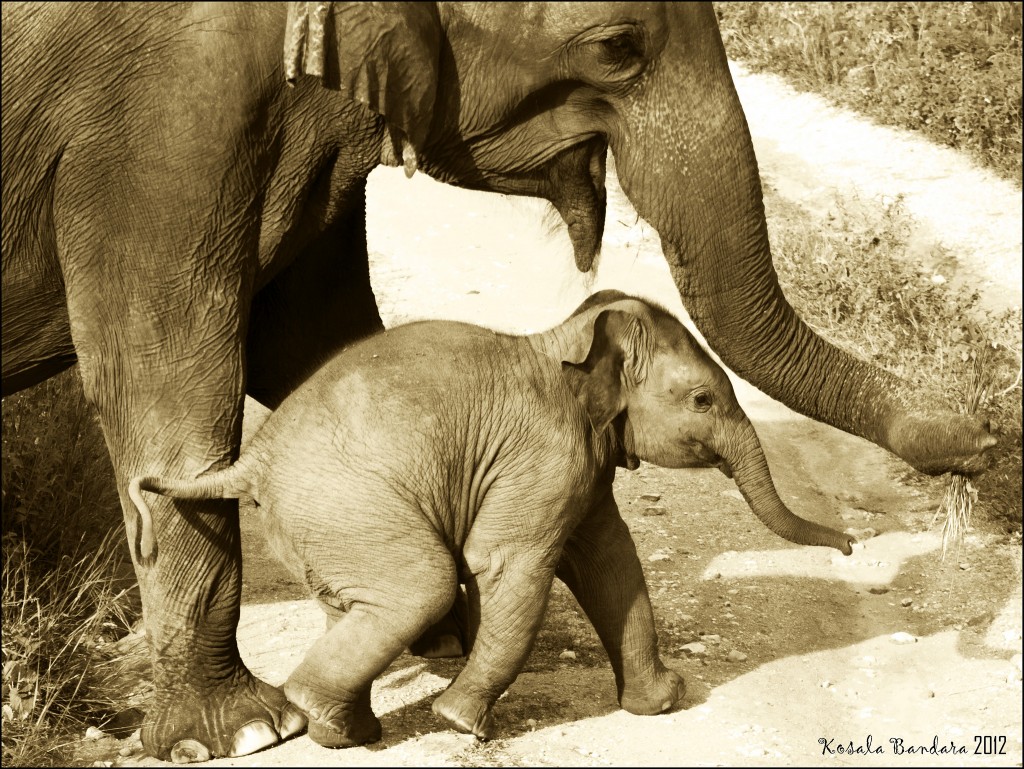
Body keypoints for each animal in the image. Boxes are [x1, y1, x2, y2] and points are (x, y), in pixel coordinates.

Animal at [128, 290, 851, 749]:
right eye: (702, 399)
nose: (849, 543)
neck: (567, 337)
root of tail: (251, 459)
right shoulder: (547, 454)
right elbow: (511, 567)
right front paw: (459, 722)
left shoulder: (582, 464)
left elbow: (611, 561)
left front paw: (663, 701)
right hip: (348, 507)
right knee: (420, 586)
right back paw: (326, 717)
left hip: (329, 528)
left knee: (360, 605)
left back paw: (349, 732)